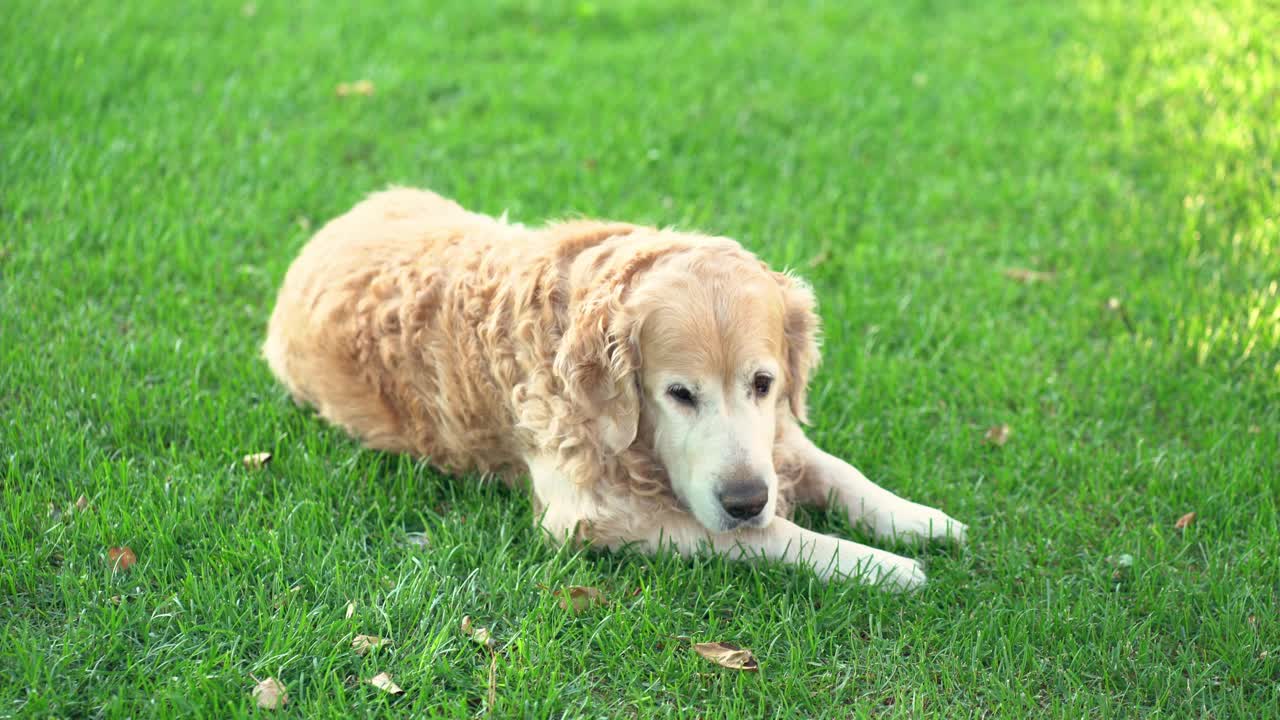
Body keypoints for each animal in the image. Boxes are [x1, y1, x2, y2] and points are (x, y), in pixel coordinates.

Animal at [264, 185, 962, 589]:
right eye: (679, 395)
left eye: (763, 383)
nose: (745, 499)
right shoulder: (592, 516)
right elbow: (763, 536)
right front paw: (882, 565)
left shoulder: (774, 438)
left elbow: (837, 469)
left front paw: (921, 519)